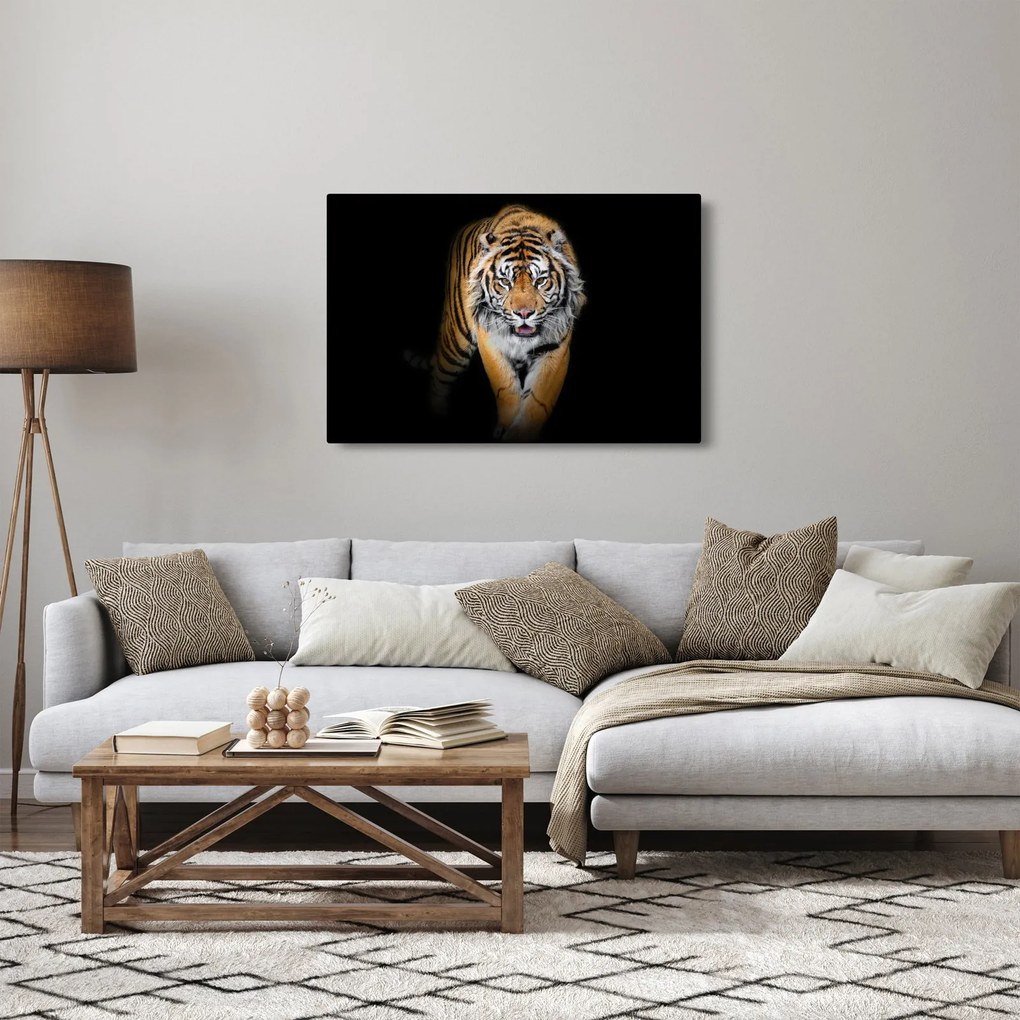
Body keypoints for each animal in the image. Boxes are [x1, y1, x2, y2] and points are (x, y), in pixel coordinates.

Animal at [430, 205, 585, 441]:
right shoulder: (490, 341)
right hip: (455, 343)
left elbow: (538, 400)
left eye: (540, 281)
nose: (524, 313)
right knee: (439, 379)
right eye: (505, 282)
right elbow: (506, 387)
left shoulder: (555, 349)